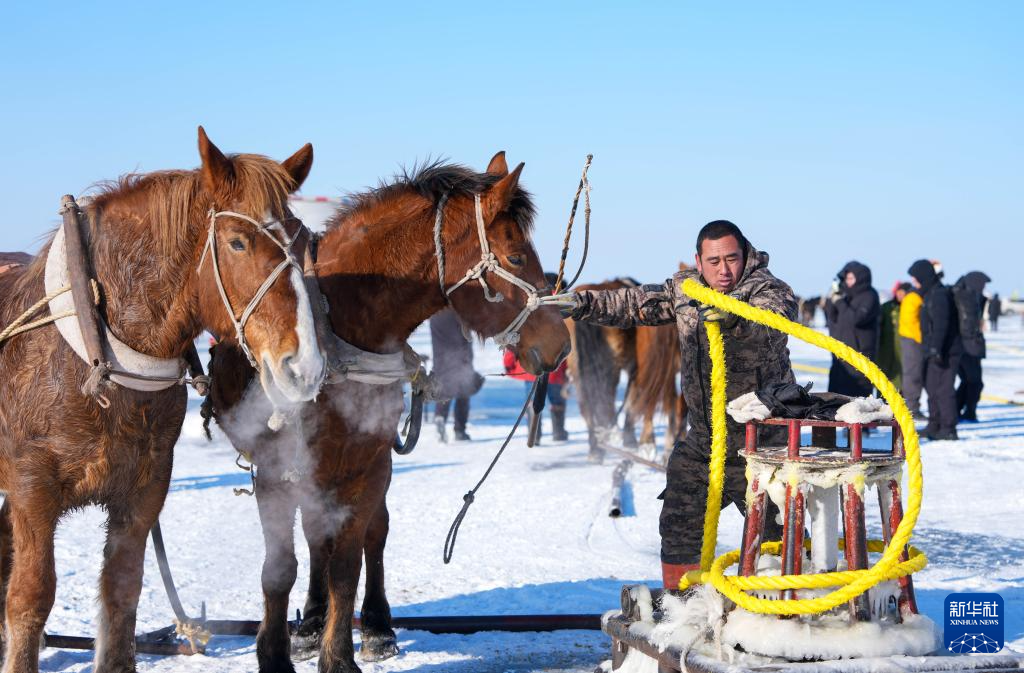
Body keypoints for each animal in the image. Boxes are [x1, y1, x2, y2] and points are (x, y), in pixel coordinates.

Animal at [0, 127, 324, 673]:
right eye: (237, 242)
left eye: (302, 241)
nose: (304, 366)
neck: (99, 359)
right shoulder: (31, 486)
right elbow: (30, 596)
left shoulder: (147, 484)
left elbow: (121, 591)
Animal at [206, 153, 571, 673]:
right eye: (517, 258)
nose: (560, 345)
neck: (337, 330)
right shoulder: (275, 470)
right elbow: (282, 567)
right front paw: (284, 645)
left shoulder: (368, 461)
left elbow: (349, 562)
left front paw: (341, 652)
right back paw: (311, 621)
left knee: (365, 534)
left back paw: (373, 625)